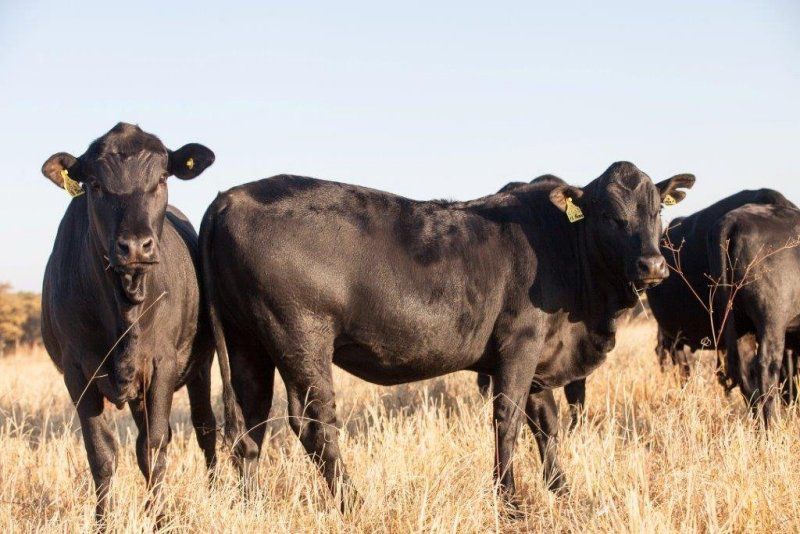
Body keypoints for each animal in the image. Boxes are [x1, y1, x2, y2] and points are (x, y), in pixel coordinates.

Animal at [40, 123, 217, 524]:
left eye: (162, 178)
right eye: (95, 184)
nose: (135, 246)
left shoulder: (162, 365)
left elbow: (153, 447)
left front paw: (160, 518)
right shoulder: (77, 373)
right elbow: (102, 453)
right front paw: (103, 521)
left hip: (200, 367)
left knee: (205, 428)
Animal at [201, 161, 694, 511]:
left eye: (657, 210)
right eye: (609, 216)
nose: (653, 265)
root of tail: (230, 197)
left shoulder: (540, 357)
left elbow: (547, 425)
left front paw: (562, 492)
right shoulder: (519, 345)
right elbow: (508, 420)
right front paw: (510, 502)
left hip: (248, 345)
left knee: (250, 427)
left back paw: (252, 507)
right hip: (300, 337)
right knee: (314, 424)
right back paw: (354, 504)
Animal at [710, 202, 800, 428]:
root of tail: (733, 219)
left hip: (739, 322)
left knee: (746, 374)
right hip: (772, 320)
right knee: (766, 369)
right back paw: (773, 427)